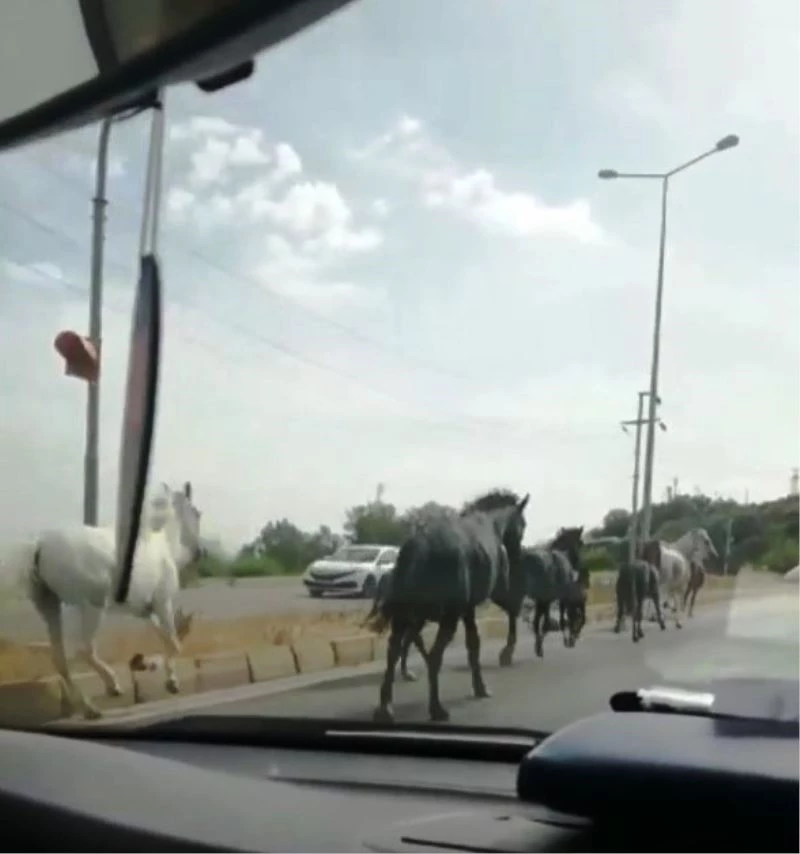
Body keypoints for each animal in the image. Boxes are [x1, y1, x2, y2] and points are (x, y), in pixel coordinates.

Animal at [25, 481, 203, 719]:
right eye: (196, 512)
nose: (200, 552)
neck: (161, 541)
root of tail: (40, 546)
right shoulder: (163, 602)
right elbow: (174, 642)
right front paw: (171, 682)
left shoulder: (144, 610)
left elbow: (163, 637)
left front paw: (146, 664)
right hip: (91, 606)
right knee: (83, 650)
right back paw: (112, 687)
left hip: (51, 606)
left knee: (60, 658)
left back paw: (90, 708)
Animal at [368, 489, 529, 723]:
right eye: (523, 524)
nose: (517, 555)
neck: (491, 523)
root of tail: (418, 549)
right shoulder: (476, 603)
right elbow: (477, 642)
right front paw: (485, 682)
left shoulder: (467, 608)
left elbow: (473, 644)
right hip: (445, 616)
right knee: (433, 655)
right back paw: (437, 708)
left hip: (408, 615)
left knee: (395, 649)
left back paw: (385, 707)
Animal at [521, 526, 588, 657]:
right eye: (581, 542)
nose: (578, 563)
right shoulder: (559, 599)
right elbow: (558, 621)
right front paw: (569, 639)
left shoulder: (544, 600)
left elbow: (539, 622)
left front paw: (538, 646)